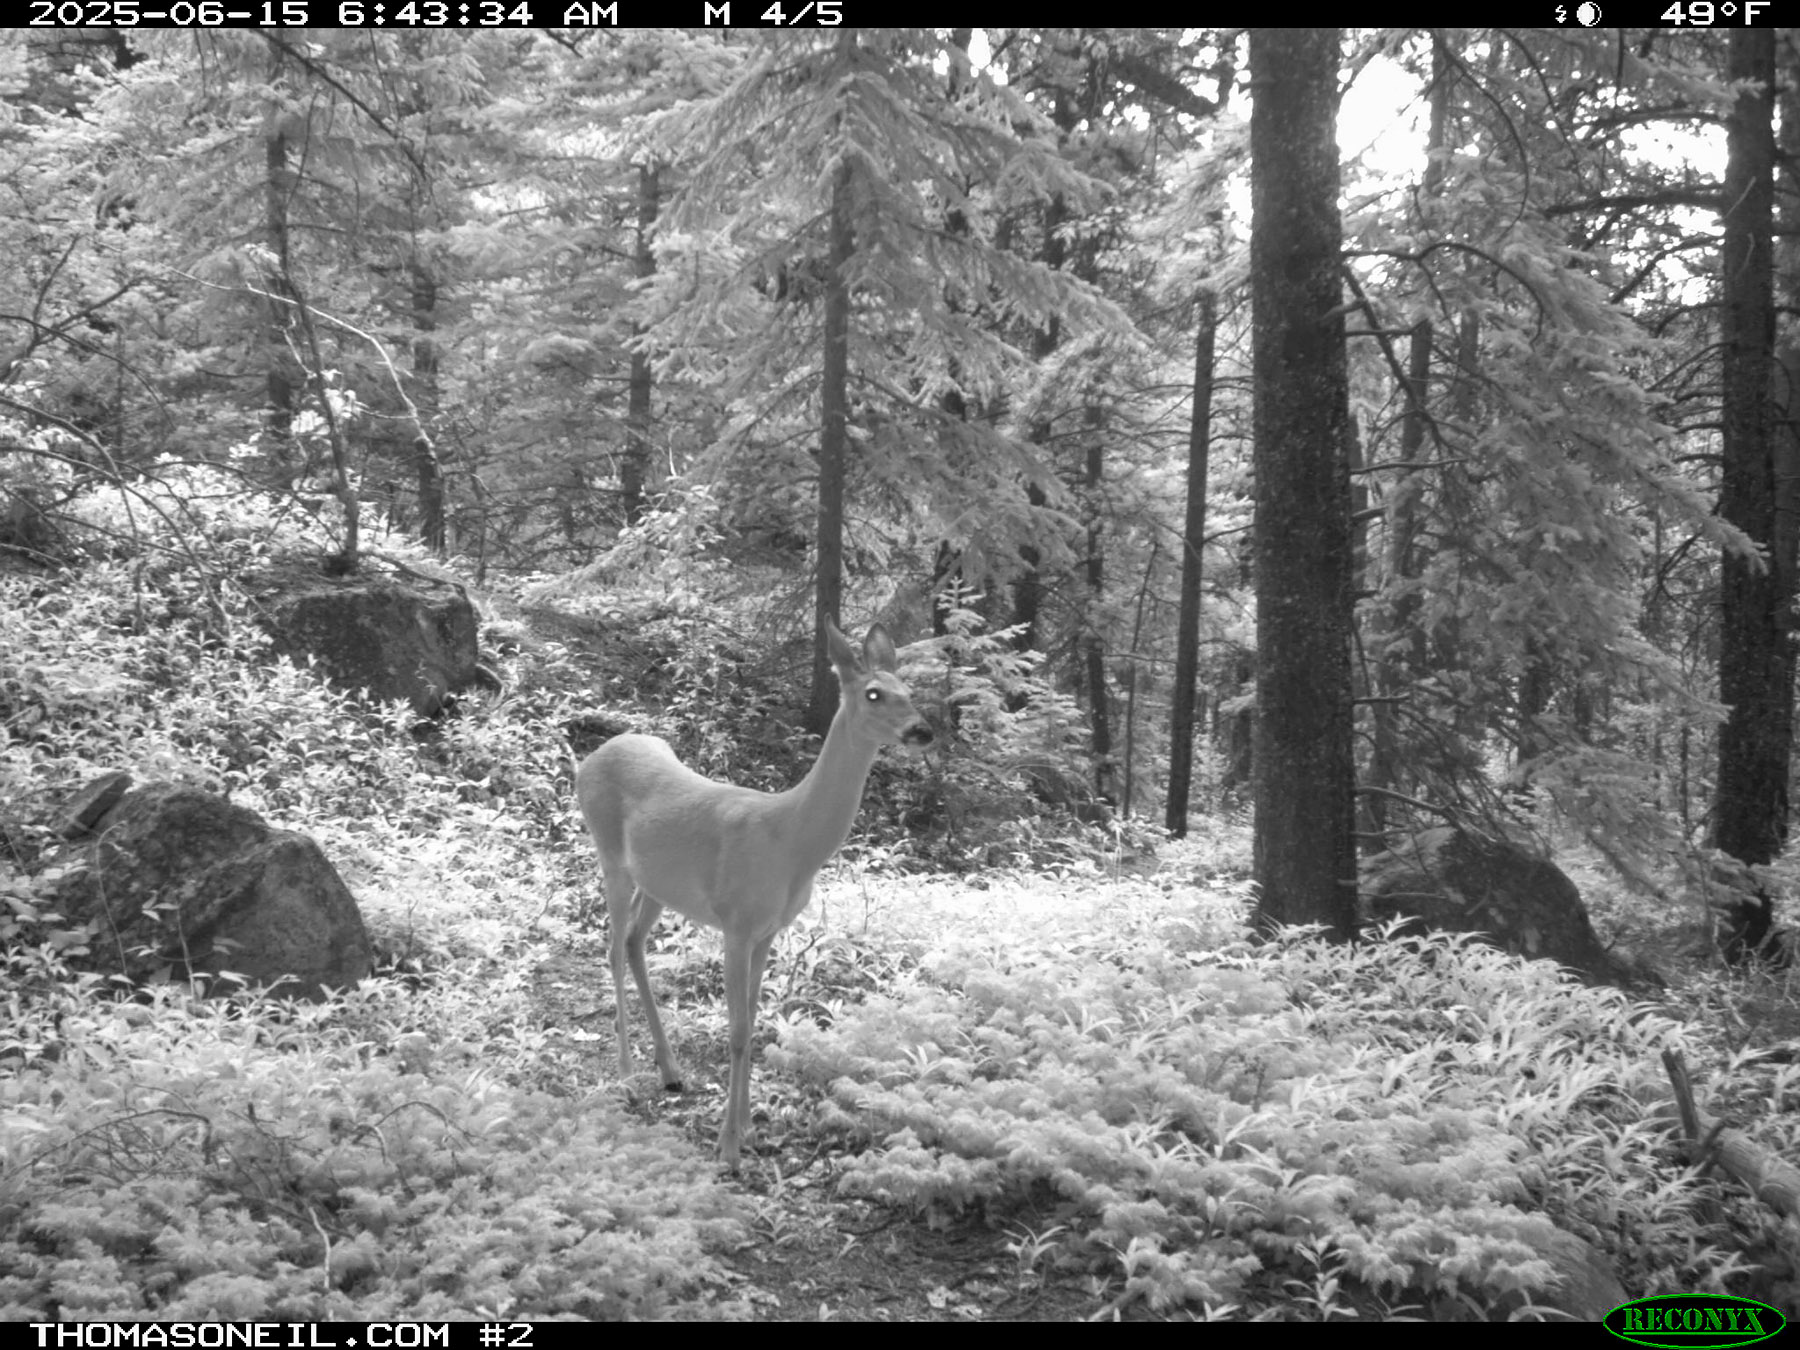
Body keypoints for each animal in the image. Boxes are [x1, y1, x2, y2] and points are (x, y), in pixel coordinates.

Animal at [575, 621, 934, 1169]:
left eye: (909, 691)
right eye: (874, 693)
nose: (923, 731)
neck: (790, 841)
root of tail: (591, 756)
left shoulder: (769, 930)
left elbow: (754, 1017)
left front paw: (746, 1125)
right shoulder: (737, 923)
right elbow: (739, 1031)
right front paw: (728, 1146)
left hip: (658, 882)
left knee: (635, 943)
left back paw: (670, 1070)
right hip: (609, 853)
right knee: (614, 949)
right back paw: (627, 1073)